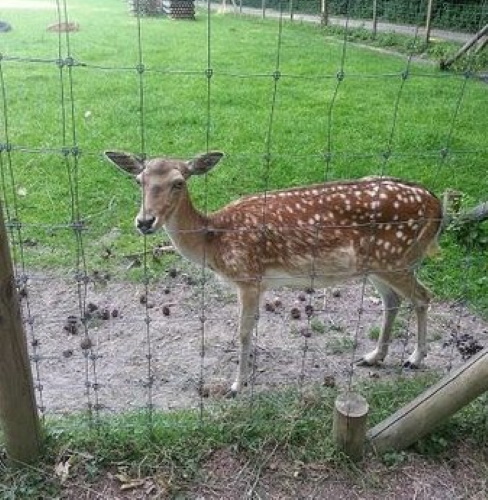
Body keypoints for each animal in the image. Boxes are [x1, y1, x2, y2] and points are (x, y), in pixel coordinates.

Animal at [105, 149, 444, 394]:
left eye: (179, 182)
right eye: (139, 181)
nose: (145, 221)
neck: (214, 241)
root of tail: (436, 205)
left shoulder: (248, 276)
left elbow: (242, 332)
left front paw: (237, 385)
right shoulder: (259, 283)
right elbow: (251, 328)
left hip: (395, 257)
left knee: (423, 296)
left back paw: (414, 359)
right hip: (377, 264)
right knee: (393, 301)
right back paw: (374, 356)